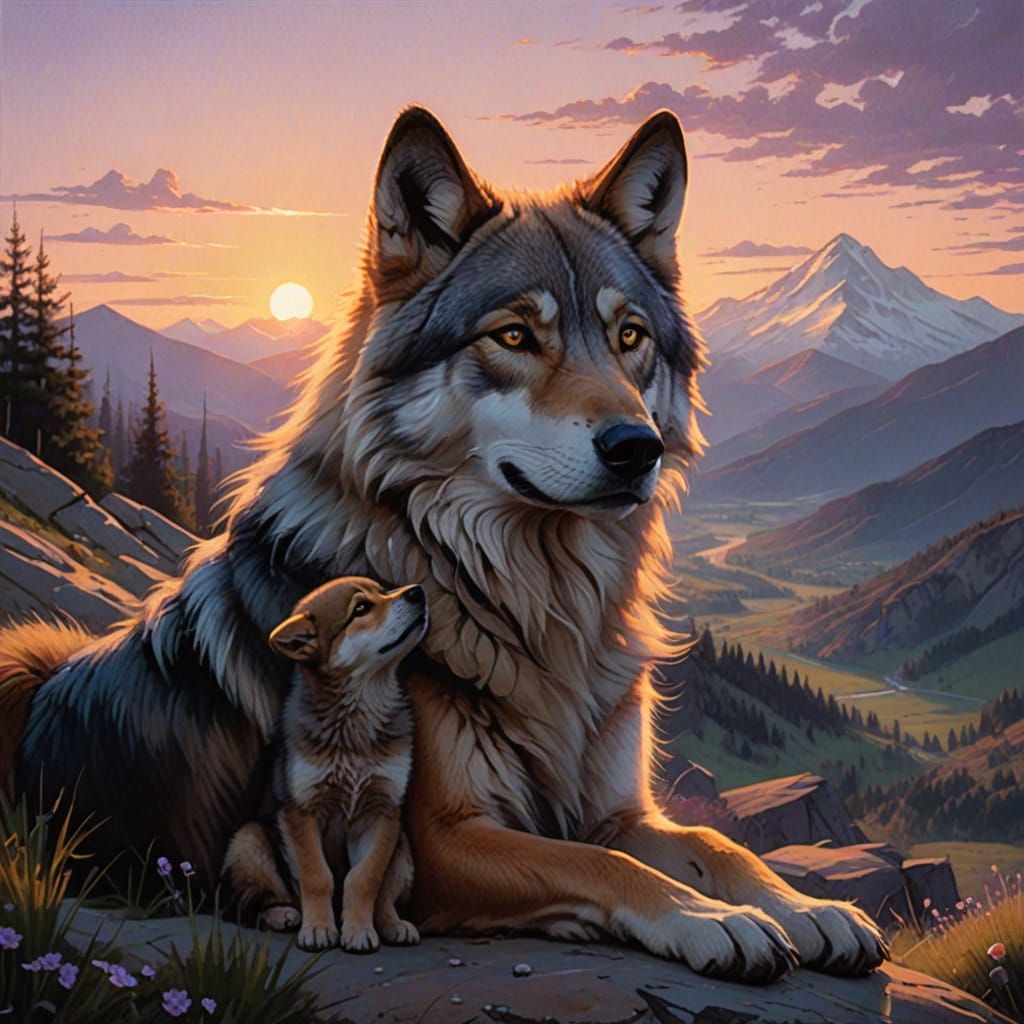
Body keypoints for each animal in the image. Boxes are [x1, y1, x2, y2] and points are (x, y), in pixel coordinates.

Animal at [2, 106, 885, 982]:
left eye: (630, 336)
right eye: (515, 336)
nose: (639, 447)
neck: (538, 607)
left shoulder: (614, 810)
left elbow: (715, 842)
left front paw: (807, 908)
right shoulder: (442, 840)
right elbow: (602, 867)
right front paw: (713, 921)